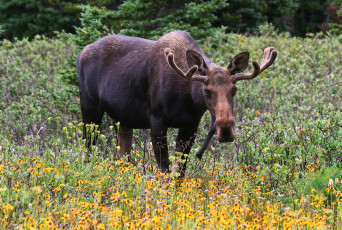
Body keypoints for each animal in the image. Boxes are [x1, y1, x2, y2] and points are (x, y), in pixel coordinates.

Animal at [77, 30, 278, 174]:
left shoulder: (191, 125)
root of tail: (81, 52)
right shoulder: (156, 120)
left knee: (122, 157)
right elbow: (165, 170)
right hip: (89, 108)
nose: (226, 129)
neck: (187, 100)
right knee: (87, 150)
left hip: (123, 120)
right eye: (206, 91)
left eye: (234, 90)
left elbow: (179, 172)